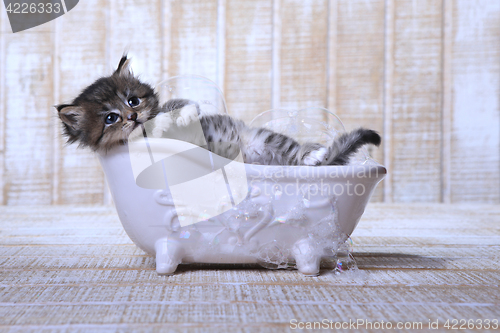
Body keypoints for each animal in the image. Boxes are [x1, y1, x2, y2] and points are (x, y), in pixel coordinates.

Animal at [56, 56, 380, 166]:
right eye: (111, 118)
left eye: (133, 101)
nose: (133, 118)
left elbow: (183, 104)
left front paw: (178, 116)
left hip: (263, 138)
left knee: (301, 152)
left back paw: (314, 155)